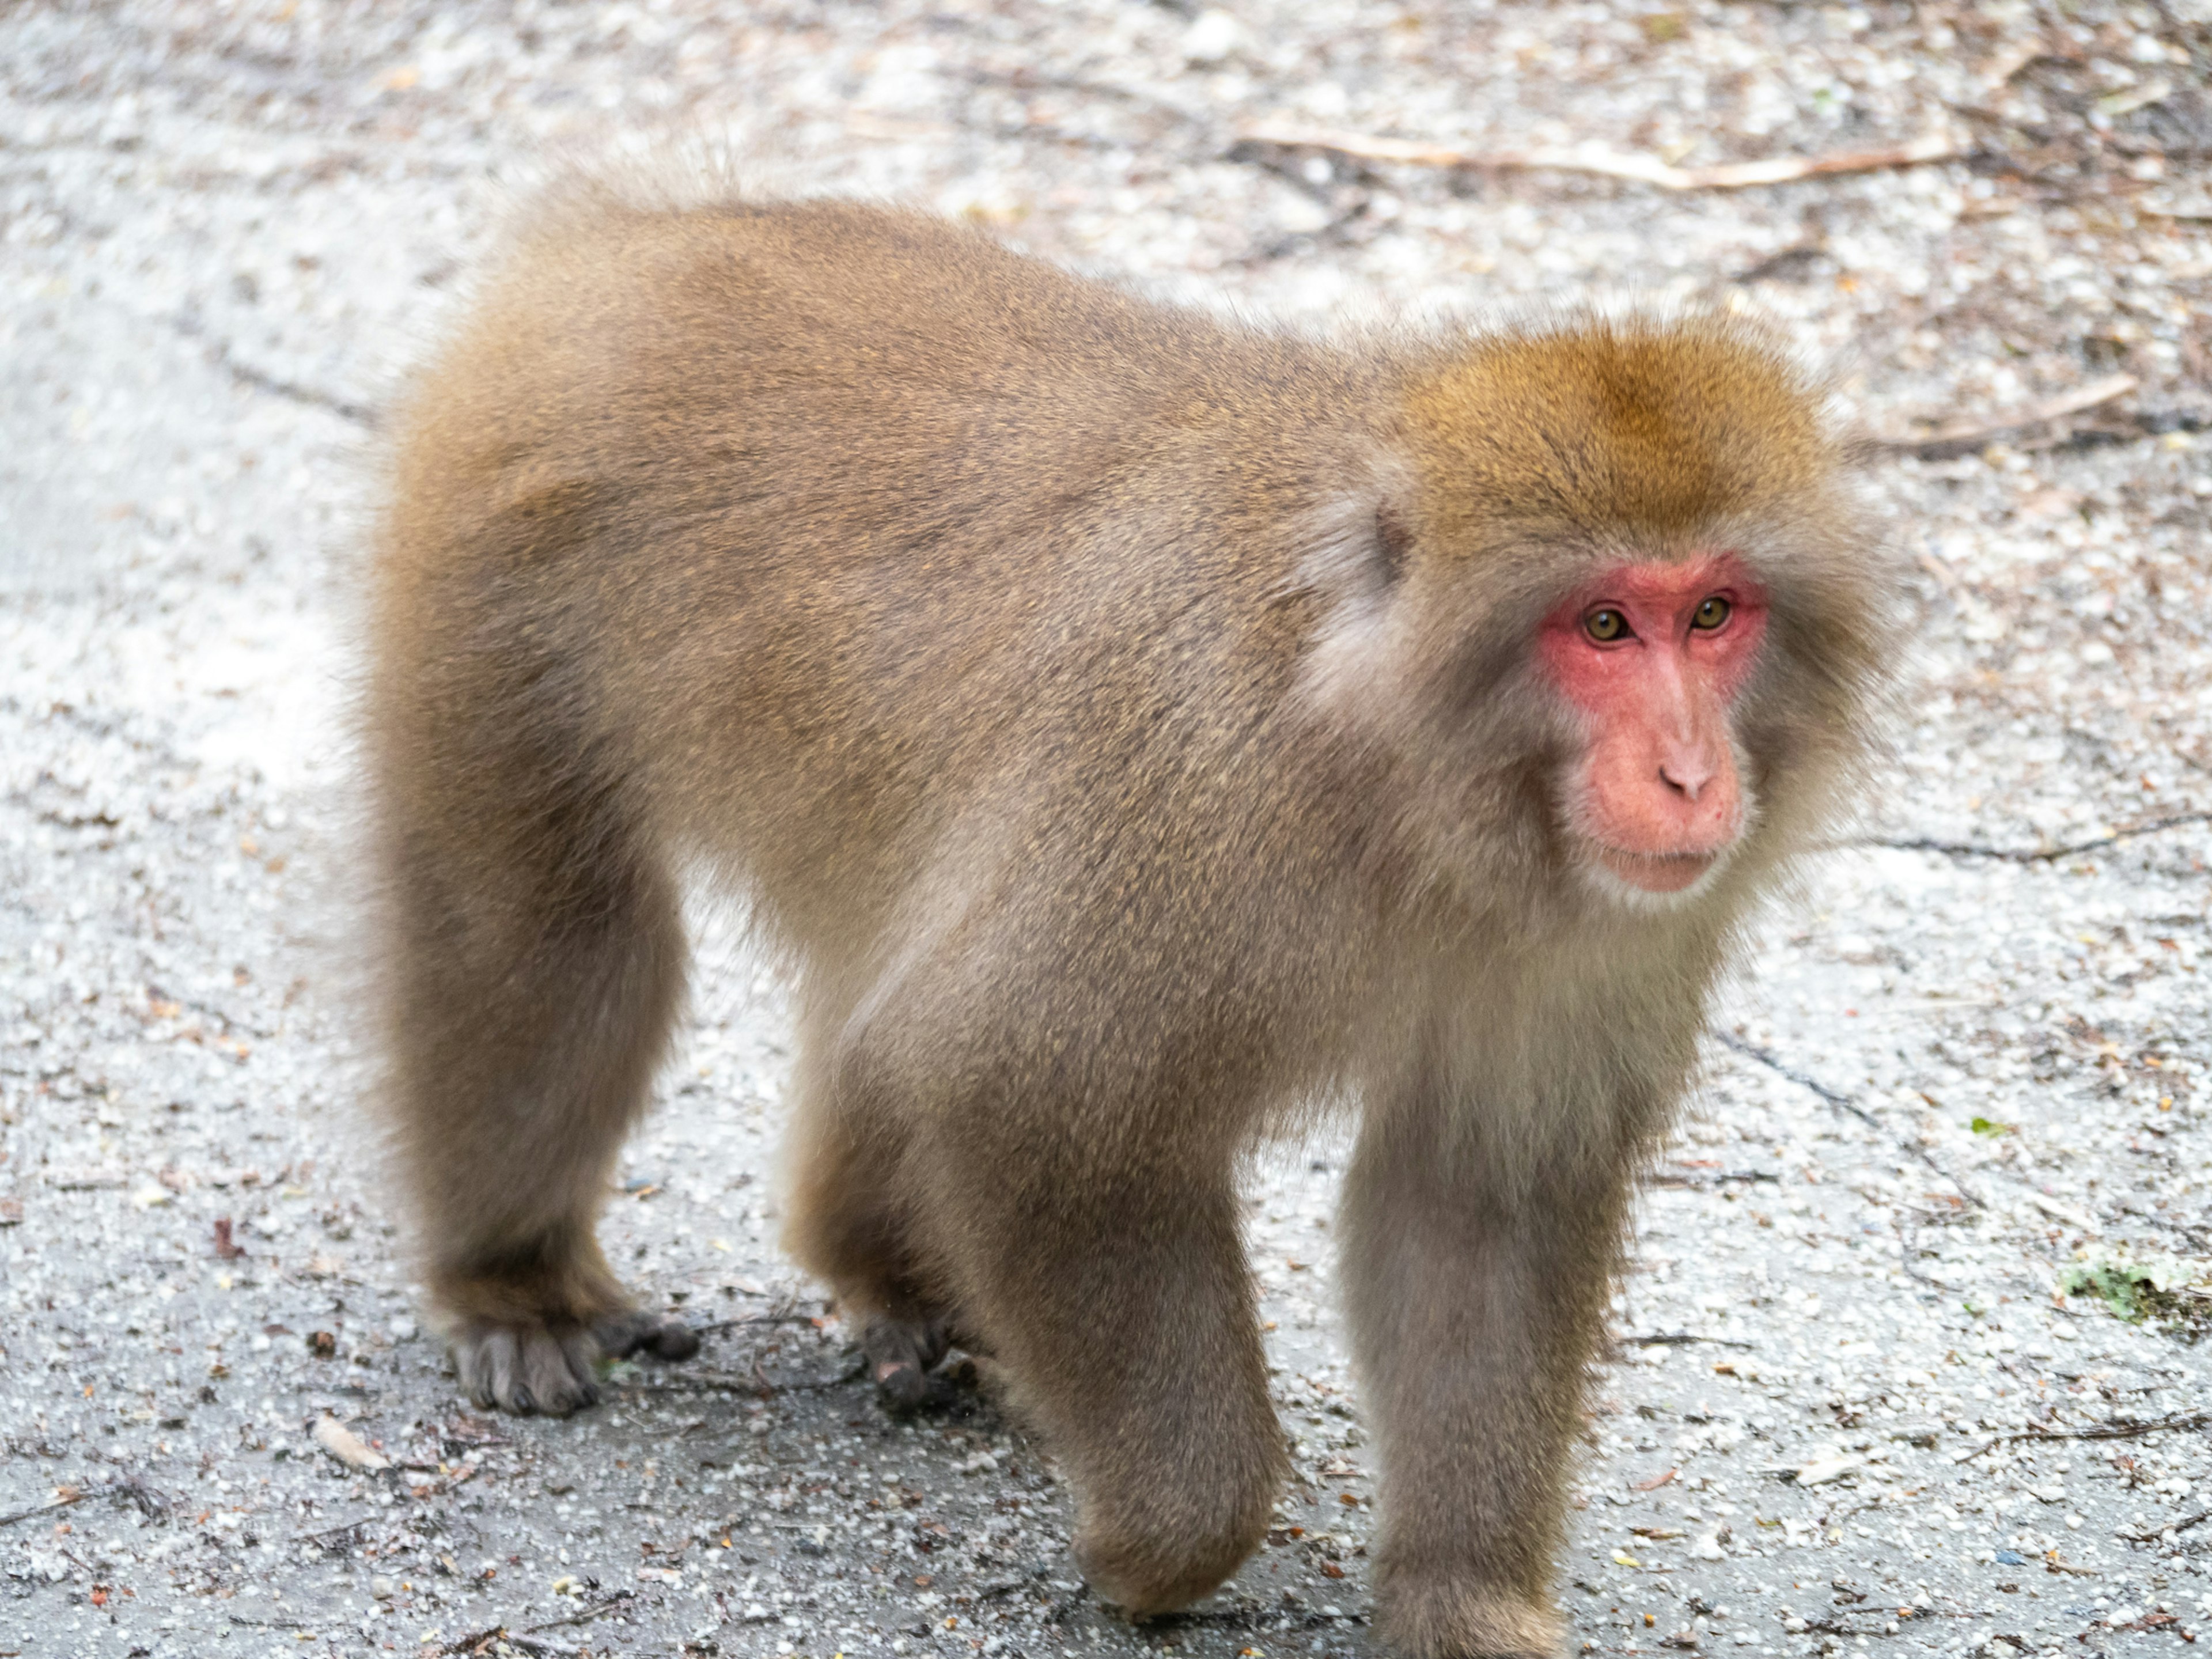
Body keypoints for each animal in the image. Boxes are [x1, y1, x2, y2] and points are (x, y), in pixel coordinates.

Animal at [372, 188, 1893, 1654]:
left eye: (1713, 611)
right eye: (1604, 627)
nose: (1691, 775)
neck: (1394, 774)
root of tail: (633, 239)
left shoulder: (1589, 943)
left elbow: (1477, 1204)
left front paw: (1463, 1602)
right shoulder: (1187, 791)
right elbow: (1023, 1085)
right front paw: (1155, 1545)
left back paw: (889, 1272)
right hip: (495, 561)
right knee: (551, 932)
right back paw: (510, 1279)